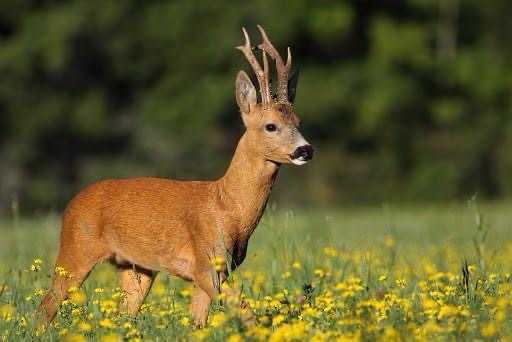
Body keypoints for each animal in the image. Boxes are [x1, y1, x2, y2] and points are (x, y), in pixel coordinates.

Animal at [39, 26, 312, 326]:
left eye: (298, 122)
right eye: (270, 126)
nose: (305, 149)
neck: (227, 206)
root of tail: (70, 205)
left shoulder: (215, 270)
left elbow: (198, 323)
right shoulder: (206, 263)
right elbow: (244, 311)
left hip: (136, 267)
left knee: (124, 314)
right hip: (76, 249)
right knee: (46, 305)